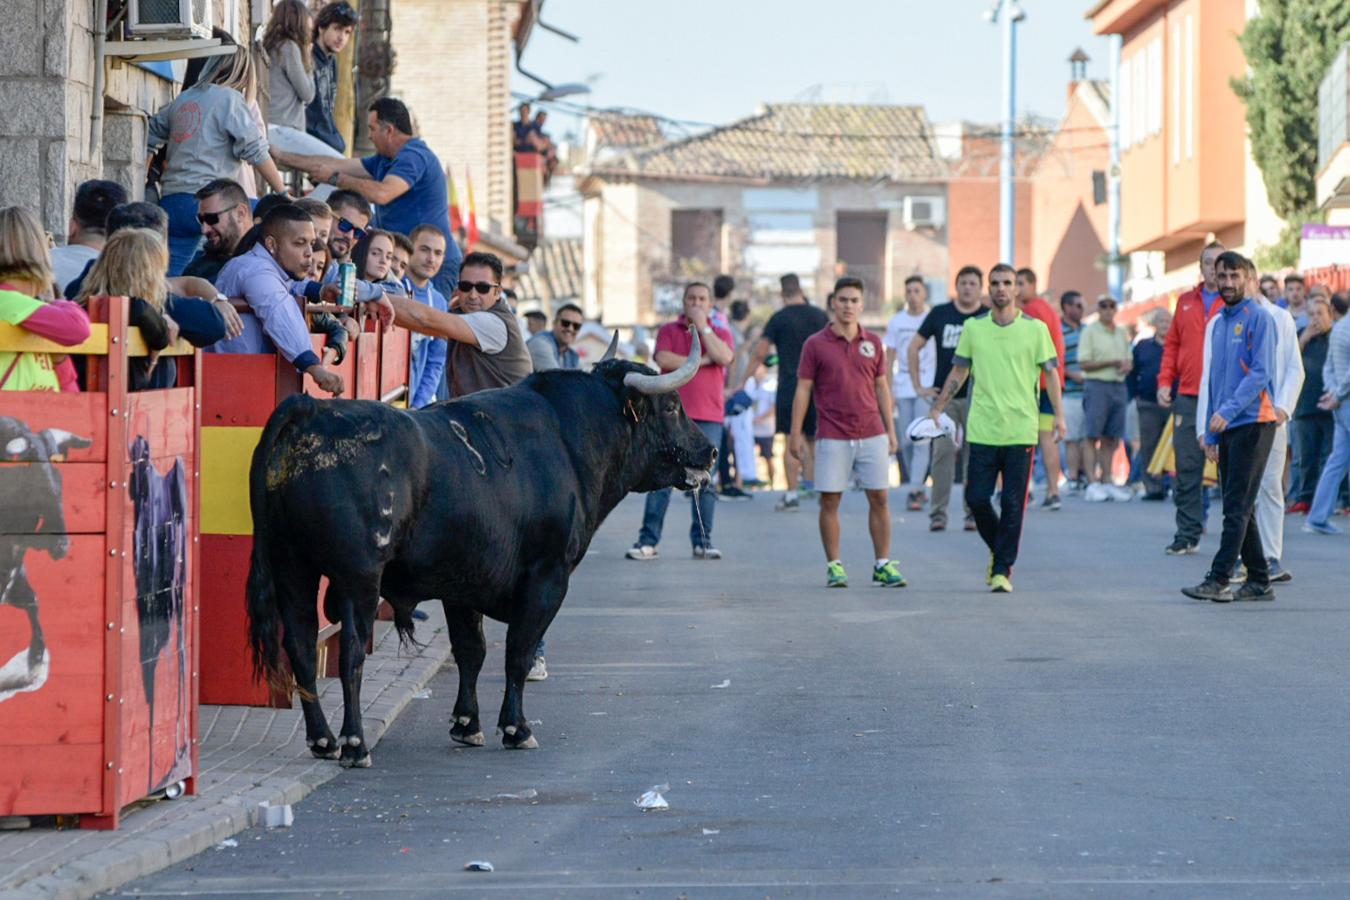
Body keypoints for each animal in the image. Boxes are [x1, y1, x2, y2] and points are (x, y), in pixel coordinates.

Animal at [251, 334, 718, 771]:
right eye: (672, 406)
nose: (710, 450)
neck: (570, 441)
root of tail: (312, 412)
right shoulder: (547, 576)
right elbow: (518, 652)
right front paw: (516, 728)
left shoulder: (463, 582)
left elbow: (470, 651)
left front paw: (466, 724)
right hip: (358, 577)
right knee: (349, 653)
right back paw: (354, 744)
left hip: (290, 566)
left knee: (300, 644)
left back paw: (323, 740)